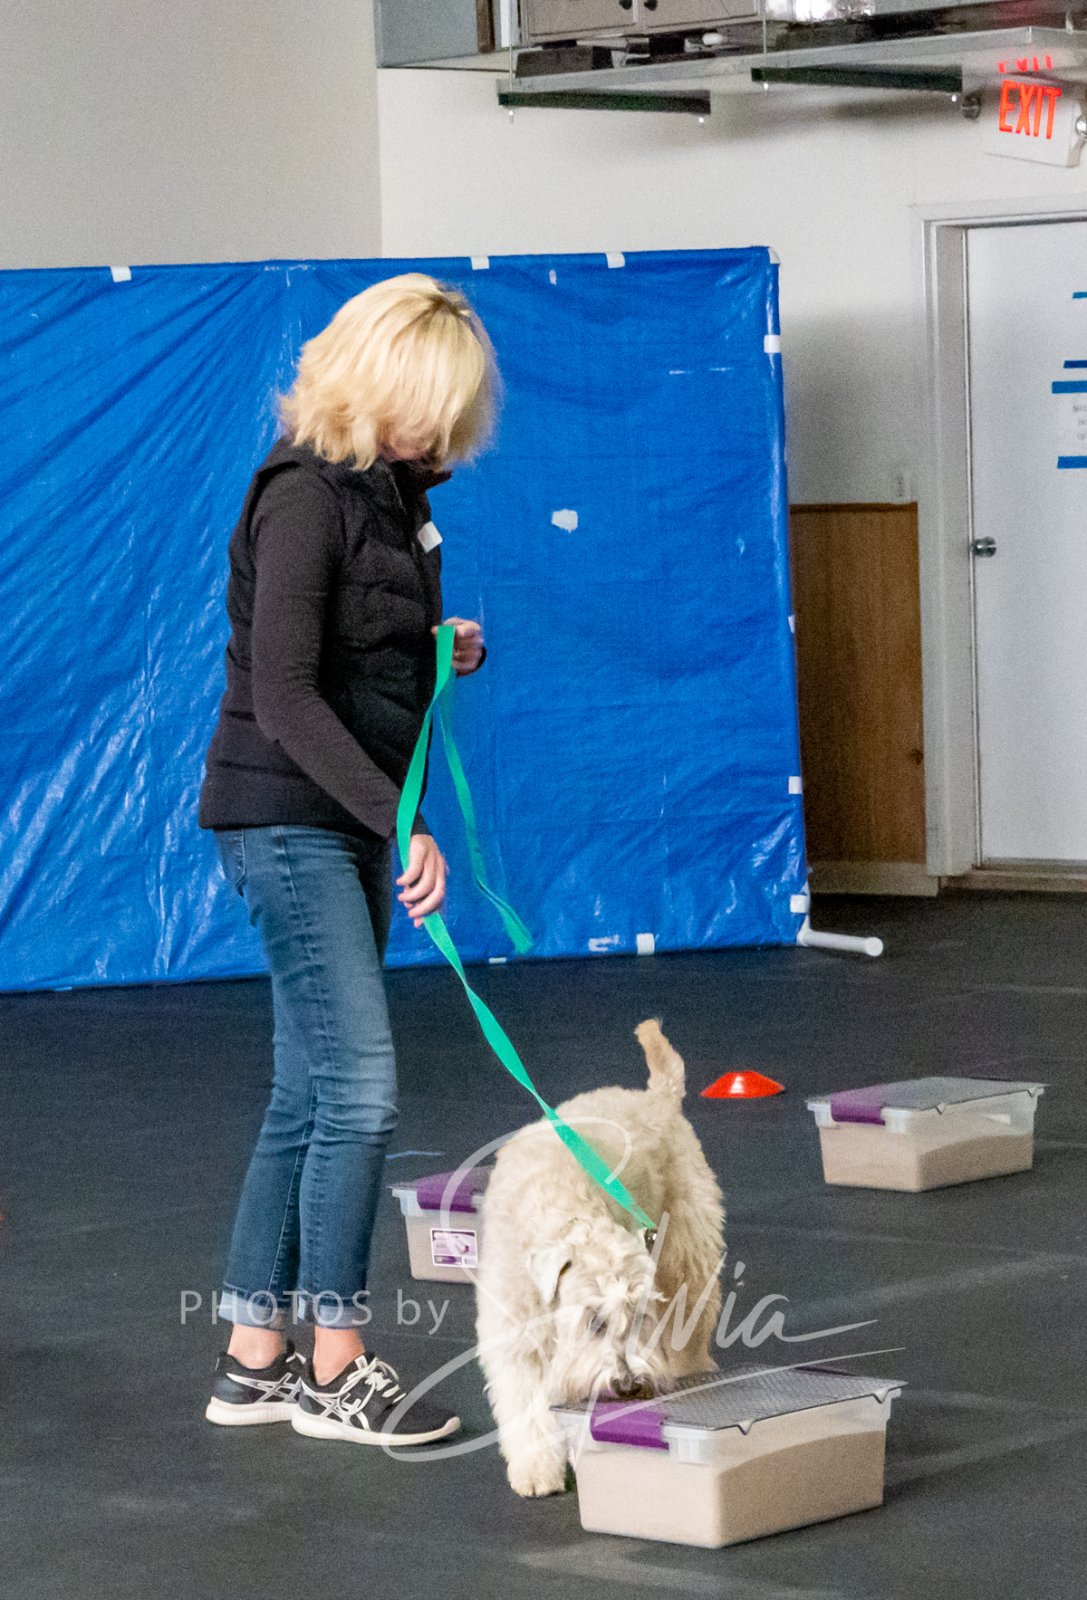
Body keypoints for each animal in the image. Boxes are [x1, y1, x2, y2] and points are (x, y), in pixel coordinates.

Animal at [475, 1019, 724, 1496]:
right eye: (593, 1320)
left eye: (639, 1314)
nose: (627, 1385)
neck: (564, 1213)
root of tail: (656, 1096)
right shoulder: (515, 1340)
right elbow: (527, 1408)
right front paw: (537, 1469)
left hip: (687, 1255)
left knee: (692, 1330)